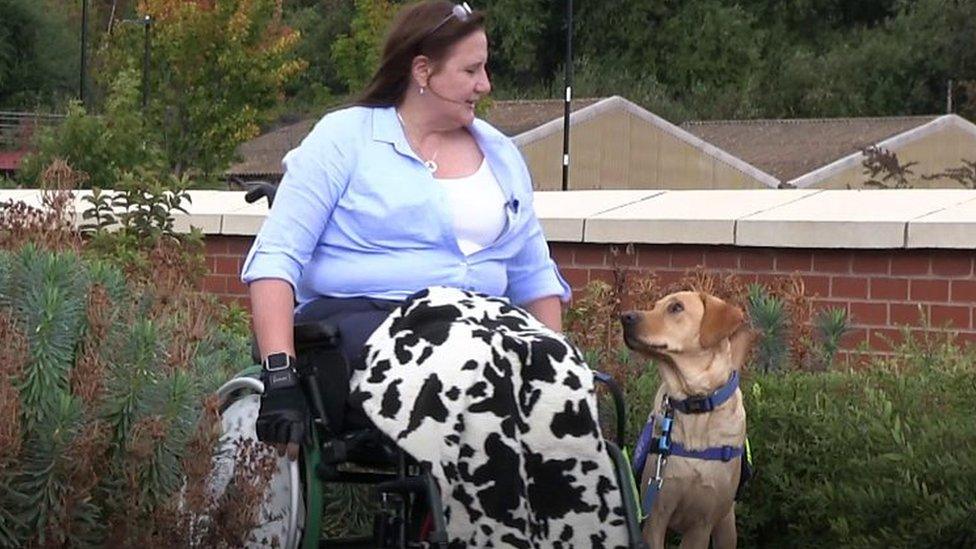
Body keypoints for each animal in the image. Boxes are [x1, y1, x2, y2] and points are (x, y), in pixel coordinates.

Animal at [620, 292, 752, 548]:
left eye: (676, 308)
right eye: (654, 307)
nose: (625, 317)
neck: (695, 404)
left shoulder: (702, 523)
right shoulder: (656, 514)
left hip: (726, 527)